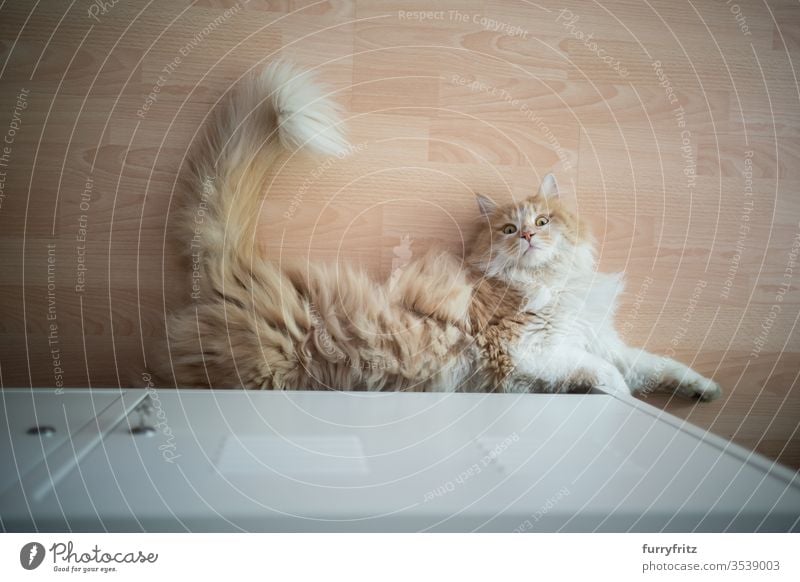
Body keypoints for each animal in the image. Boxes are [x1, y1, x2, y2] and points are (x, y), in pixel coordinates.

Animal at [159, 61, 720, 404]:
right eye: (509, 228)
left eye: (542, 222)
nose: (528, 238)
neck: (550, 286)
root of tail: (236, 269)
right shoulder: (529, 349)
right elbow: (608, 374)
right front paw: (620, 401)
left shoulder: (598, 338)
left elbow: (656, 365)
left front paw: (702, 388)